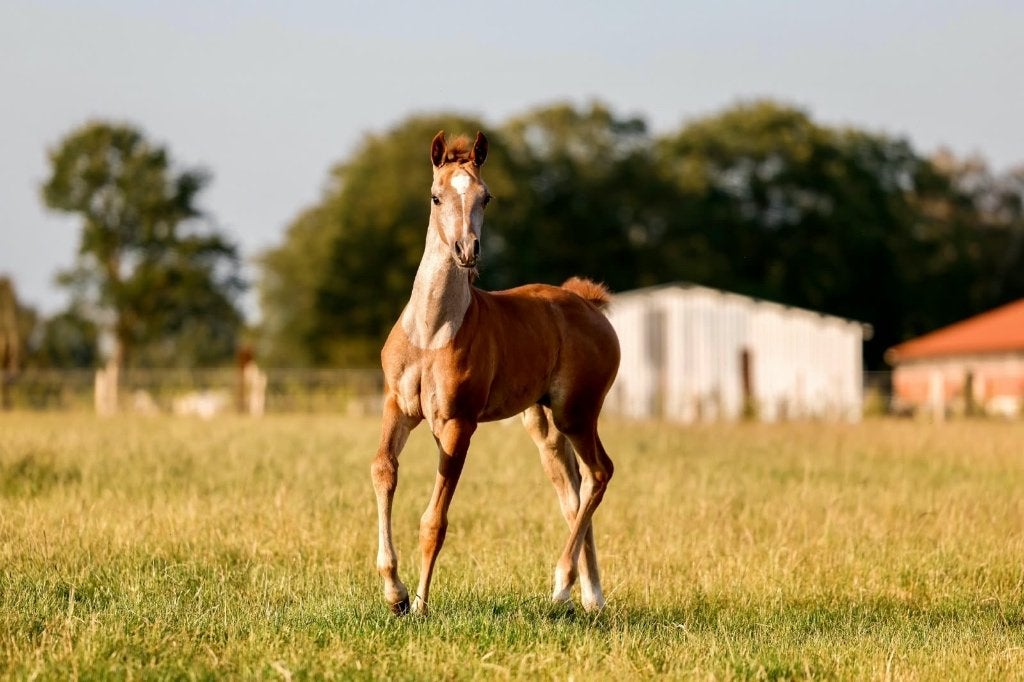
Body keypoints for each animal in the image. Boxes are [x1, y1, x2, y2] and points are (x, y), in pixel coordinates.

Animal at [371, 130, 620, 615]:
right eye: (435, 196)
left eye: (485, 196)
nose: (467, 251)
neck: (431, 331)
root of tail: (589, 304)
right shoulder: (399, 407)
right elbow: (384, 470)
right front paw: (395, 592)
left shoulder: (458, 424)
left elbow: (435, 519)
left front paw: (420, 604)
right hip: (543, 423)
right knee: (573, 493)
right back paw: (590, 597)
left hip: (578, 413)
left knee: (600, 473)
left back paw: (562, 584)